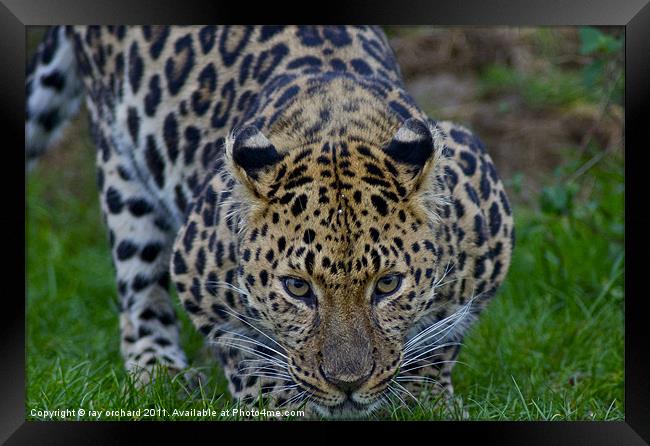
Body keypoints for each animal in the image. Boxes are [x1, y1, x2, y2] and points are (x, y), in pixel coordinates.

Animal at [24, 26, 512, 420]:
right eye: (297, 288)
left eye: (388, 285)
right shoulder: (196, 272)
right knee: (137, 288)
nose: (347, 383)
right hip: (122, 167)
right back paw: (160, 372)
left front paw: (422, 399)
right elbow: (245, 351)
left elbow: (440, 337)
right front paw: (277, 404)